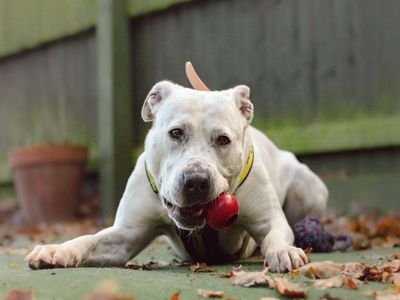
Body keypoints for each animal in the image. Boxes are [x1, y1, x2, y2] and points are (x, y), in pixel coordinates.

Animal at [27, 78, 328, 274]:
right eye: (175, 133)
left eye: (223, 140)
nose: (196, 181)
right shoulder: (125, 235)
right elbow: (88, 240)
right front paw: (57, 250)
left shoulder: (269, 220)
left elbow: (275, 235)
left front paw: (283, 251)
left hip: (309, 189)